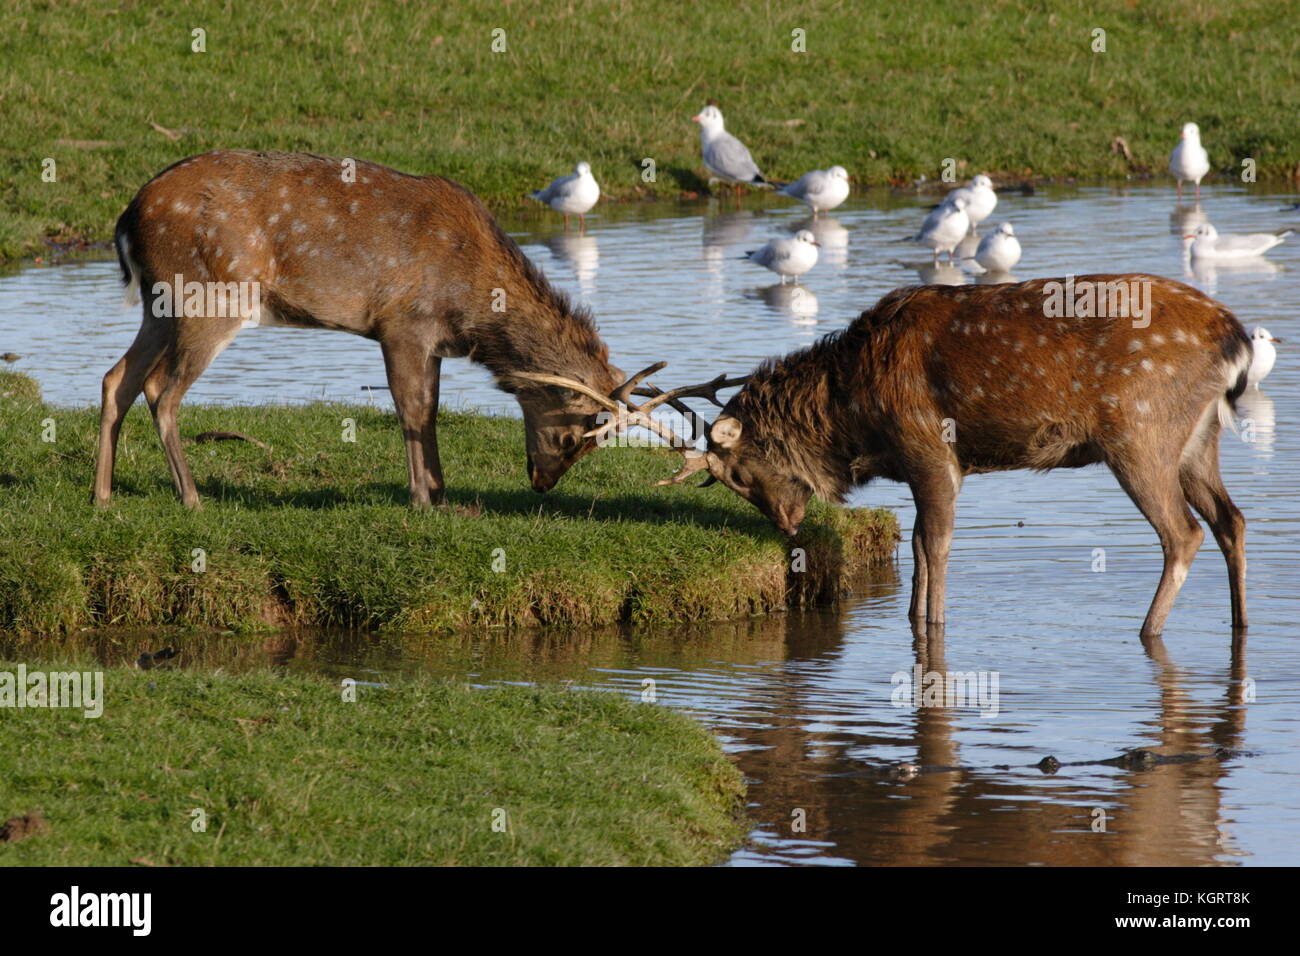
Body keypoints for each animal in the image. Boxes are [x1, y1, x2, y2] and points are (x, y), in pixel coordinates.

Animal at [94, 150, 665, 510]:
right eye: (571, 438)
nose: (543, 484)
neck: (474, 307)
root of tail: (125, 219)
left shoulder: (433, 341)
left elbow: (431, 409)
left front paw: (443, 495)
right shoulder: (402, 323)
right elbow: (410, 409)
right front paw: (422, 498)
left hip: (159, 305)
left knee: (117, 378)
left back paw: (103, 494)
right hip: (210, 294)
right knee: (161, 389)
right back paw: (191, 497)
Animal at [535, 275, 1253, 640]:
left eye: (737, 475)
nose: (788, 526)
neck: (856, 415)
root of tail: (1238, 340)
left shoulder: (930, 446)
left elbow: (934, 543)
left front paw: (931, 627)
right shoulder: (918, 463)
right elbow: (913, 542)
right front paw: (912, 614)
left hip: (1140, 430)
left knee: (1183, 532)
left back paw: (1147, 631)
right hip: (1197, 438)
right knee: (1232, 520)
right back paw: (1242, 623)